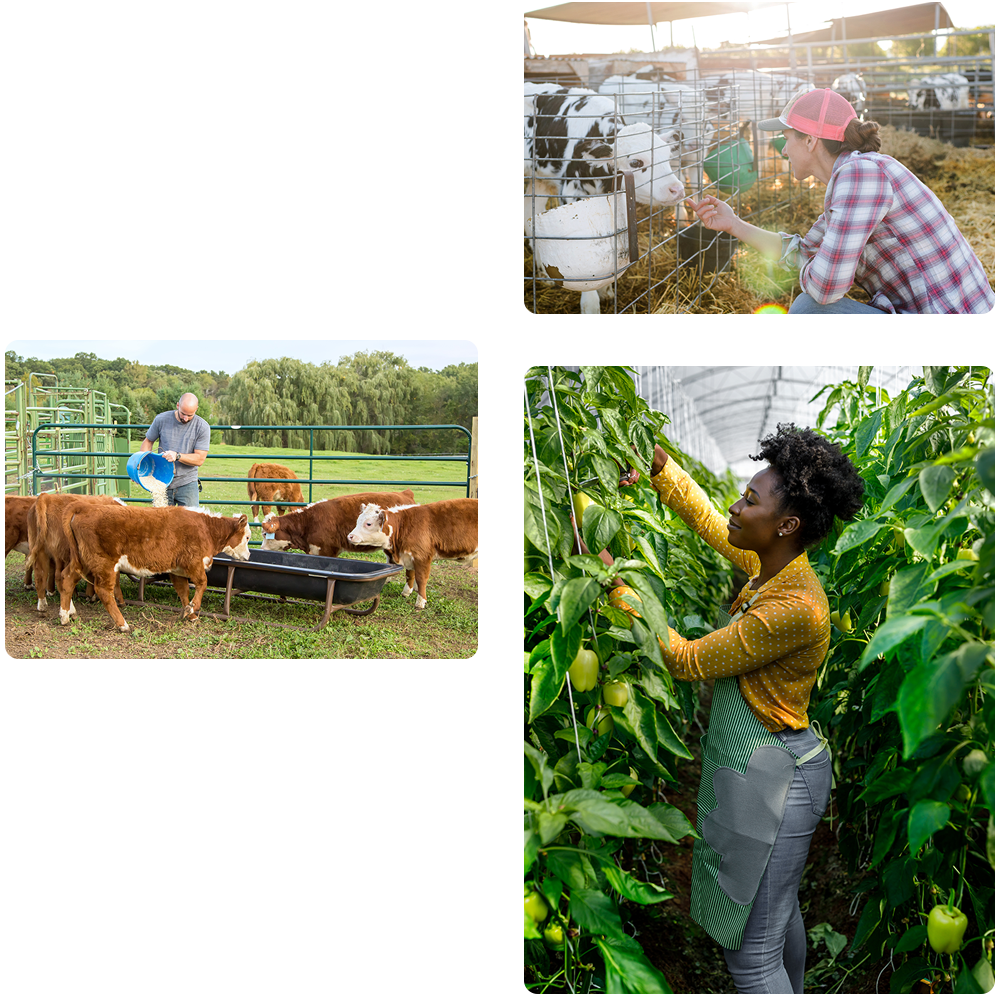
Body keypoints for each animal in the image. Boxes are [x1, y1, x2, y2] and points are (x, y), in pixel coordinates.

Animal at [63, 504, 252, 628]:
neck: (206, 528)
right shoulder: (193, 563)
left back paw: (66, 615)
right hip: (104, 563)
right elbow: (202, 584)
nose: (249, 556)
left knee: (67, 578)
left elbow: (183, 591)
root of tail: (83, 508)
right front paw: (193, 608)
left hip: (82, 560)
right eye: (248, 537)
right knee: (103, 591)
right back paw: (123, 624)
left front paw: (189, 614)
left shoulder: (177, 570)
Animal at [348, 498, 480, 608]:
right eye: (357, 521)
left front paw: (420, 602)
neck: (404, 525)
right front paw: (406, 592)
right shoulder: (408, 556)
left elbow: (421, 579)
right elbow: (410, 575)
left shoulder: (422, 557)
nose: (350, 536)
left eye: (368, 523)